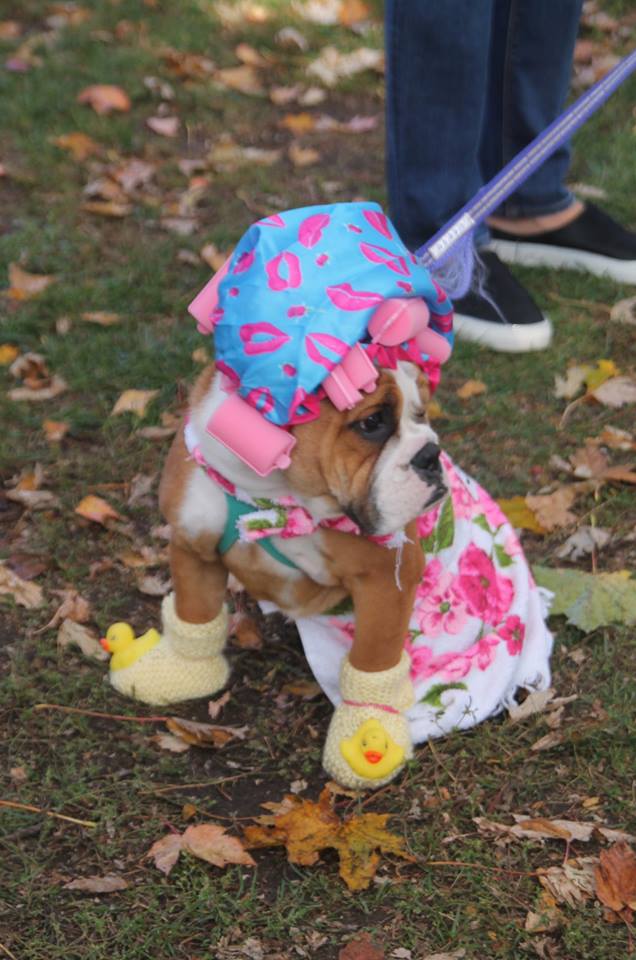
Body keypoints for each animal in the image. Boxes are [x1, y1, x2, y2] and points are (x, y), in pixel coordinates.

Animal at [108, 356, 448, 792]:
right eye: (372, 422)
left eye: (421, 412)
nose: (431, 454)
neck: (272, 491)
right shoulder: (192, 544)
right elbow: (195, 610)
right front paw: (184, 669)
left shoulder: (386, 577)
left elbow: (375, 655)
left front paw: (367, 728)